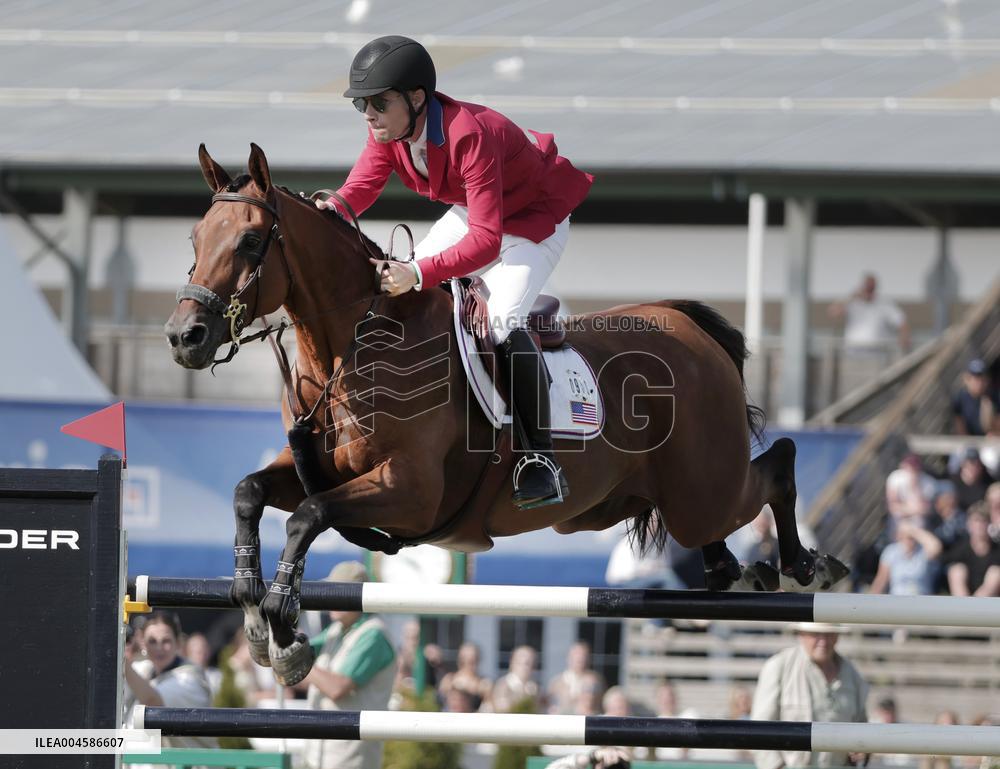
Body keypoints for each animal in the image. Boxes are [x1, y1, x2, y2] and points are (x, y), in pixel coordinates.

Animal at [165, 143, 848, 684]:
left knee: (775, 467)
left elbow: (306, 516)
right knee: (728, 522)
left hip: (701, 490)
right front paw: (255, 611)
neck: (354, 345)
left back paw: (805, 565)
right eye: (194, 241)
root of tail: (691, 329)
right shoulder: (318, 470)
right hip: (654, 500)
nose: (184, 337)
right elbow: (250, 493)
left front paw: (283, 627)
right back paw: (734, 569)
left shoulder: (411, 492)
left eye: (252, 240)